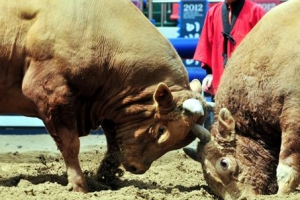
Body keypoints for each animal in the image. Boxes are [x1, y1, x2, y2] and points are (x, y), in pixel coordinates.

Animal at [0, 0, 211, 194]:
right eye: (161, 129)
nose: (137, 168)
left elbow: (115, 145)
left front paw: (104, 177)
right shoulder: (51, 94)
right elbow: (70, 144)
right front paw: (79, 185)